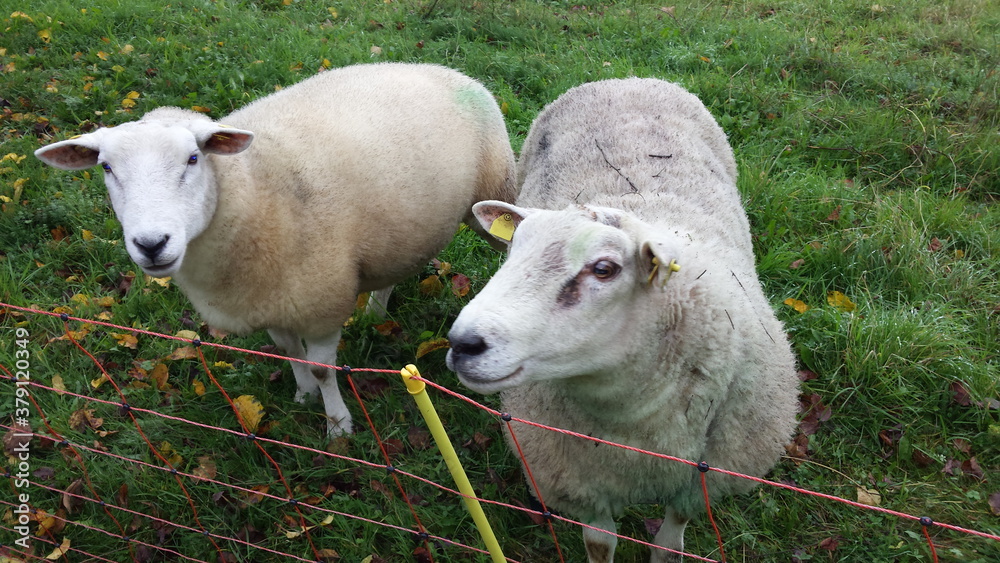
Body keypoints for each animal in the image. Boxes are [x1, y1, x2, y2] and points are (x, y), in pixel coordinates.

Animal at [35, 62, 517, 437]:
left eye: (193, 159)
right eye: (106, 167)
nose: (151, 244)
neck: (254, 185)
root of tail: (438, 68)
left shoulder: (321, 301)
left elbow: (323, 367)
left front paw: (338, 426)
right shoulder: (268, 300)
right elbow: (289, 352)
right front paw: (303, 395)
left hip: (492, 194)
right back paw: (376, 312)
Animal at [446, 78, 799, 563]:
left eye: (604, 269)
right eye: (514, 247)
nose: (463, 343)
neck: (631, 428)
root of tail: (625, 78)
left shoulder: (700, 482)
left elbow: (670, 541)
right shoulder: (579, 482)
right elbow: (600, 543)